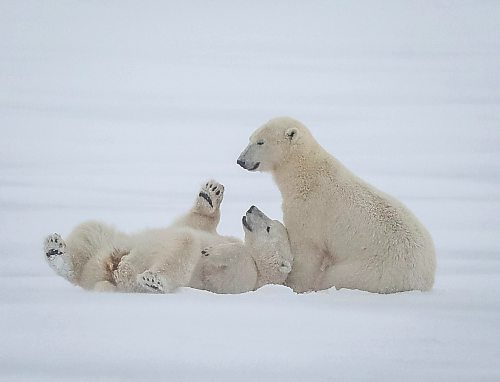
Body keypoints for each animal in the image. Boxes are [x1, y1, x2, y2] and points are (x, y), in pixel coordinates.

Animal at [44, 181, 292, 294]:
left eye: (269, 228)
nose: (252, 208)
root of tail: (107, 276)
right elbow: (194, 223)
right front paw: (211, 193)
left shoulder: (247, 280)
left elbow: (228, 270)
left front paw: (213, 251)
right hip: (109, 247)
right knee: (91, 230)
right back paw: (56, 250)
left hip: (129, 273)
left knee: (184, 243)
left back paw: (149, 278)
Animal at [236, 118, 436, 294]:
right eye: (250, 138)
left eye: (261, 142)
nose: (241, 160)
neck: (305, 174)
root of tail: (424, 281)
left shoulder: (309, 209)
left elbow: (307, 249)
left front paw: (293, 286)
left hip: (371, 271)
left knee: (335, 276)